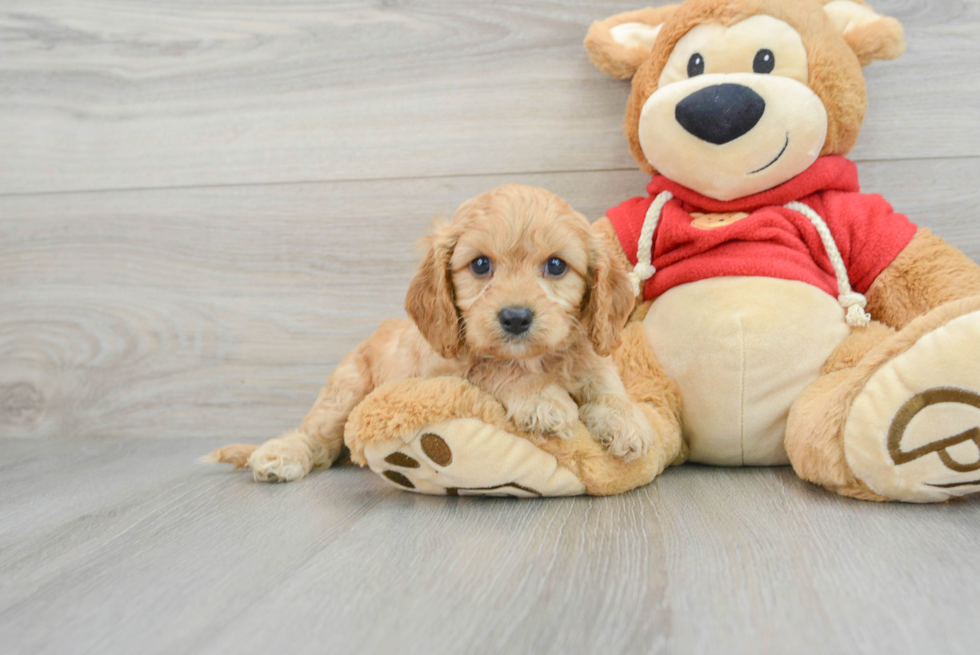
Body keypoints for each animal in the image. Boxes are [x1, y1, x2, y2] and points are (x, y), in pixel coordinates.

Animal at [212, 184, 660, 482]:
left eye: (556, 266)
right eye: (480, 265)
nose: (515, 318)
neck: (534, 357)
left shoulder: (590, 354)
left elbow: (606, 383)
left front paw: (628, 422)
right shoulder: (445, 368)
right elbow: (495, 367)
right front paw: (542, 399)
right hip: (346, 387)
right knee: (316, 435)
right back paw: (280, 455)